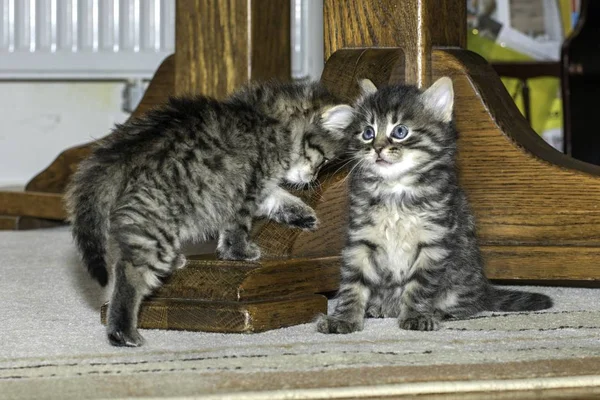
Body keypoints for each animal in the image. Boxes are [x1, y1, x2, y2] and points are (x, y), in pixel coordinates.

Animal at [67, 79, 354, 346]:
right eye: (325, 160)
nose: (313, 179)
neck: (268, 117)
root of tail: (123, 151)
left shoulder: (258, 187)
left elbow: (278, 197)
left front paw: (302, 212)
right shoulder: (247, 185)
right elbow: (238, 227)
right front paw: (240, 252)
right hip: (157, 217)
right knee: (128, 270)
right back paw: (122, 331)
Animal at [318, 76, 552, 332]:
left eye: (400, 131)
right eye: (368, 133)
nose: (377, 148)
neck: (396, 191)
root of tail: (484, 289)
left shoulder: (432, 243)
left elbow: (419, 286)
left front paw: (416, 315)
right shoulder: (361, 240)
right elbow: (353, 285)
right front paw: (344, 318)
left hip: (461, 281)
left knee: (468, 305)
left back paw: (439, 312)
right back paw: (380, 307)